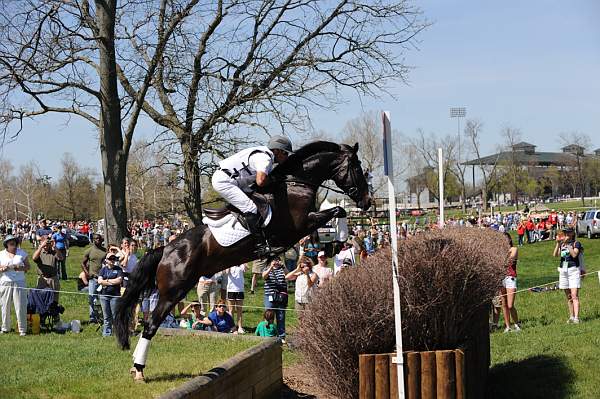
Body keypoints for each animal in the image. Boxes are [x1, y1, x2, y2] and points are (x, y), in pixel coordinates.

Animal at [113, 141, 370, 382]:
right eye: (357, 167)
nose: (367, 202)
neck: (295, 185)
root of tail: (166, 249)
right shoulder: (299, 226)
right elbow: (337, 211)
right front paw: (342, 240)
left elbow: (334, 216)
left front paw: (334, 243)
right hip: (173, 292)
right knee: (150, 325)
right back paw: (139, 369)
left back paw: (135, 365)